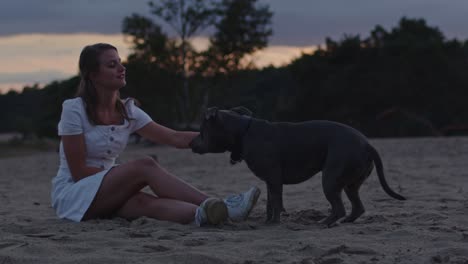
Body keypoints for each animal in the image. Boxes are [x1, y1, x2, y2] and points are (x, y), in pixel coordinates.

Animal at [190, 106, 406, 226]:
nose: (191, 142)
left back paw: (324, 222)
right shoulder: (271, 181)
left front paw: (275, 223)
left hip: (330, 180)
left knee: (339, 208)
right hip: (349, 184)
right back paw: (344, 221)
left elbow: (276, 202)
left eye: (201, 131)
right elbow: (270, 202)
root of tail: (367, 144)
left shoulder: (274, 180)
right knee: (357, 207)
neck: (243, 131)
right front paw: (268, 221)